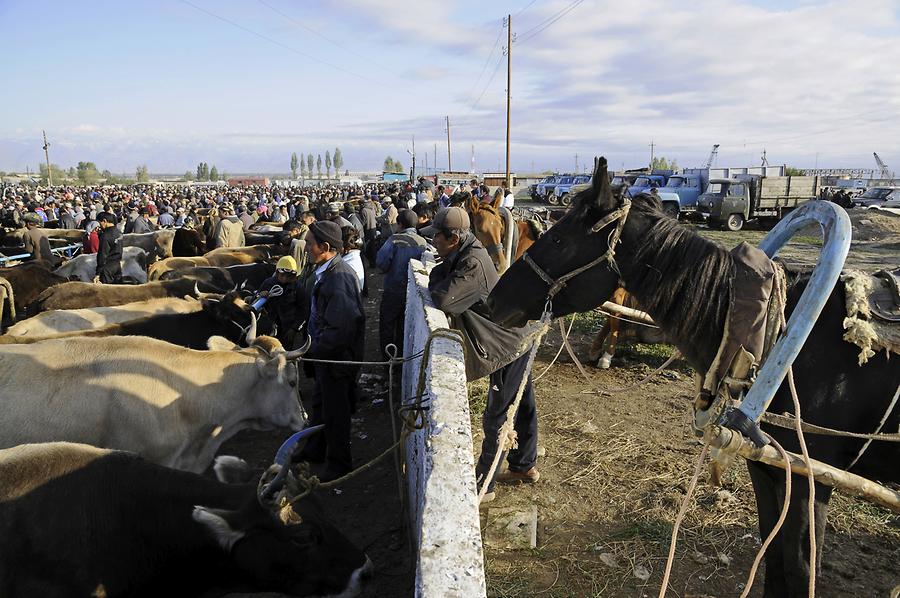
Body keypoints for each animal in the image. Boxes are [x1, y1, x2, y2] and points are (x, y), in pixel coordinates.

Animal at [488, 157, 896, 596]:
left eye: (561, 240)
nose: (494, 300)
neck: (778, 336)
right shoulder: (768, 472)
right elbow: (774, 559)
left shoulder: (809, 483)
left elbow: (802, 570)